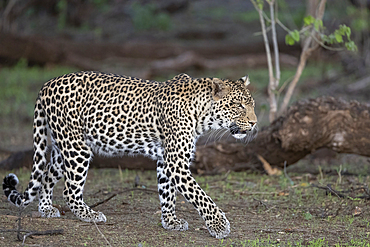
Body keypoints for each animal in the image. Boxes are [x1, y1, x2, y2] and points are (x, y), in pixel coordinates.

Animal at [2, 70, 258, 238]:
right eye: (238, 106)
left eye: (252, 105)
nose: (255, 123)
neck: (203, 115)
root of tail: (47, 83)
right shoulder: (176, 162)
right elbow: (200, 196)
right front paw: (219, 225)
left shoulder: (165, 159)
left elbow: (168, 193)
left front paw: (170, 221)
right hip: (77, 148)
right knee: (69, 190)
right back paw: (90, 215)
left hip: (63, 147)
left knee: (46, 174)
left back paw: (46, 209)